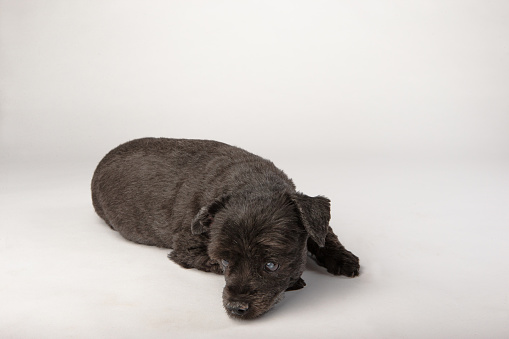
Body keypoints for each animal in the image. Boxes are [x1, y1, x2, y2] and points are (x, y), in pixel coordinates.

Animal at [92, 137, 362, 318]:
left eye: (271, 265)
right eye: (223, 262)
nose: (235, 308)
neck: (253, 181)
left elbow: (323, 234)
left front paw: (342, 258)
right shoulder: (186, 249)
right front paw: (296, 281)